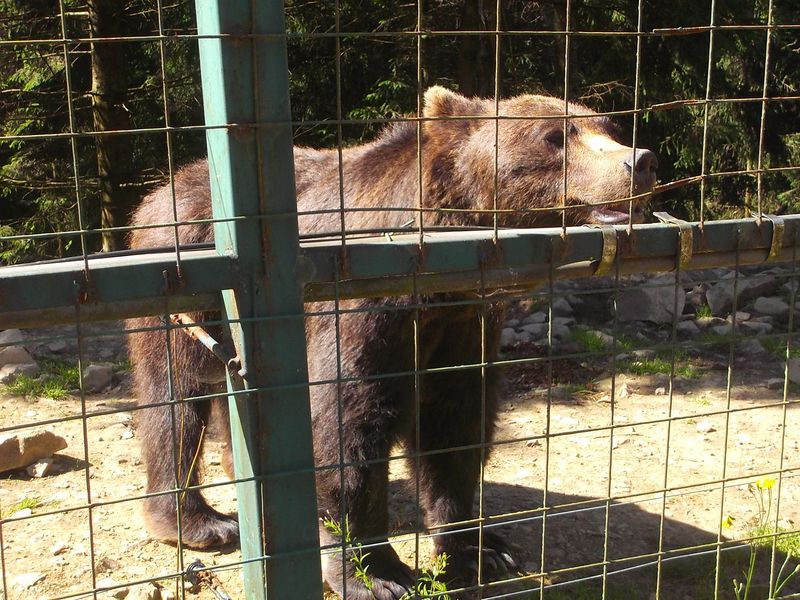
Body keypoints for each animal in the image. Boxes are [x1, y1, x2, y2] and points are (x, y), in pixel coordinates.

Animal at [126, 86, 657, 599]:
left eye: (610, 128)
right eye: (554, 136)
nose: (641, 160)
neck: (438, 281)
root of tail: (163, 187)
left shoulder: (463, 327)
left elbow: (455, 423)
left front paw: (482, 549)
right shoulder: (361, 309)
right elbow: (347, 422)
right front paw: (376, 574)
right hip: (182, 294)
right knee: (174, 401)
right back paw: (200, 522)